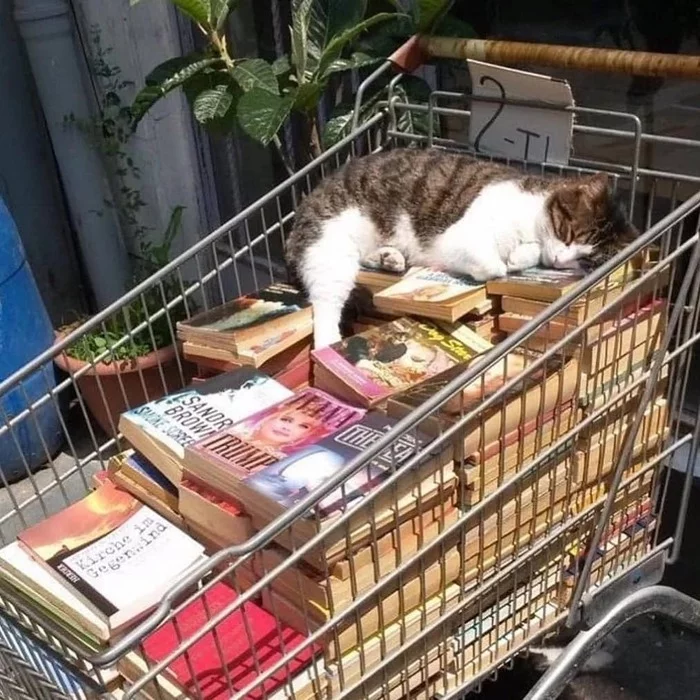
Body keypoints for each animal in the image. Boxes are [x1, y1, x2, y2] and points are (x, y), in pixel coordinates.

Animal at [286, 147, 640, 348]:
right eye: (568, 232)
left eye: (586, 262)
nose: (559, 259)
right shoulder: (458, 237)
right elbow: (491, 263)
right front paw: (504, 263)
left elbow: (520, 257)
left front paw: (519, 257)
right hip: (329, 248)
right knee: (325, 303)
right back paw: (330, 344)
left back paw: (388, 257)